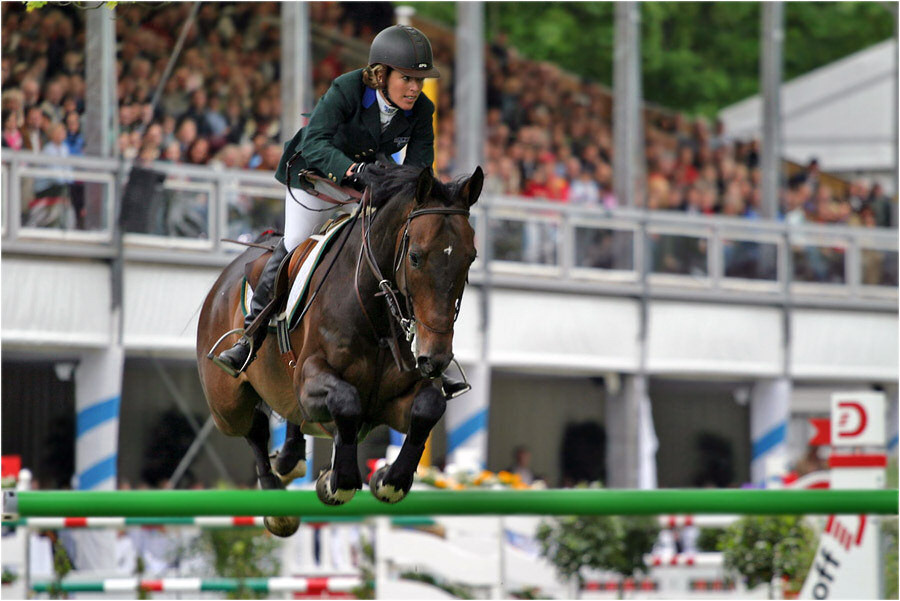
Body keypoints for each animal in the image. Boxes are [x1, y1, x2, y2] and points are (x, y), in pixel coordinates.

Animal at [196, 163, 483, 536]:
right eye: (415, 257)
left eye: (470, 258)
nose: (434, 360)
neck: (376, 319)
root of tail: (224, 279)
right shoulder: (310, 382)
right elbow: (346, 402)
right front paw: (338, 483)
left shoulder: (393, 401)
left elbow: (428, 407)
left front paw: (388, 480)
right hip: (226, 406)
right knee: (253, 426)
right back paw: (277, 505)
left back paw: (290, 459)